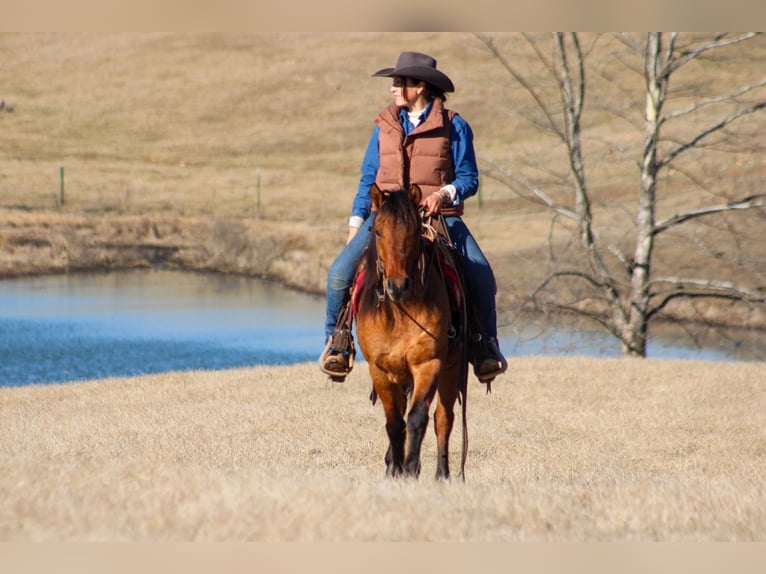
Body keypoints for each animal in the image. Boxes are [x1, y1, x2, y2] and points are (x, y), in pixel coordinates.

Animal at [356, 184, 472, 482]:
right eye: (377, 230)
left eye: (413, 231)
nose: (398, 286)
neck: (400, 311)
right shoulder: (380, 369)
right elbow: (394, 422)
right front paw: (396, 469)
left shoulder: (428, 364)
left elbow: (417, 417)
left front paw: (409, 469)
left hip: (451, 368)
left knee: (444, 418)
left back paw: (442, 474)